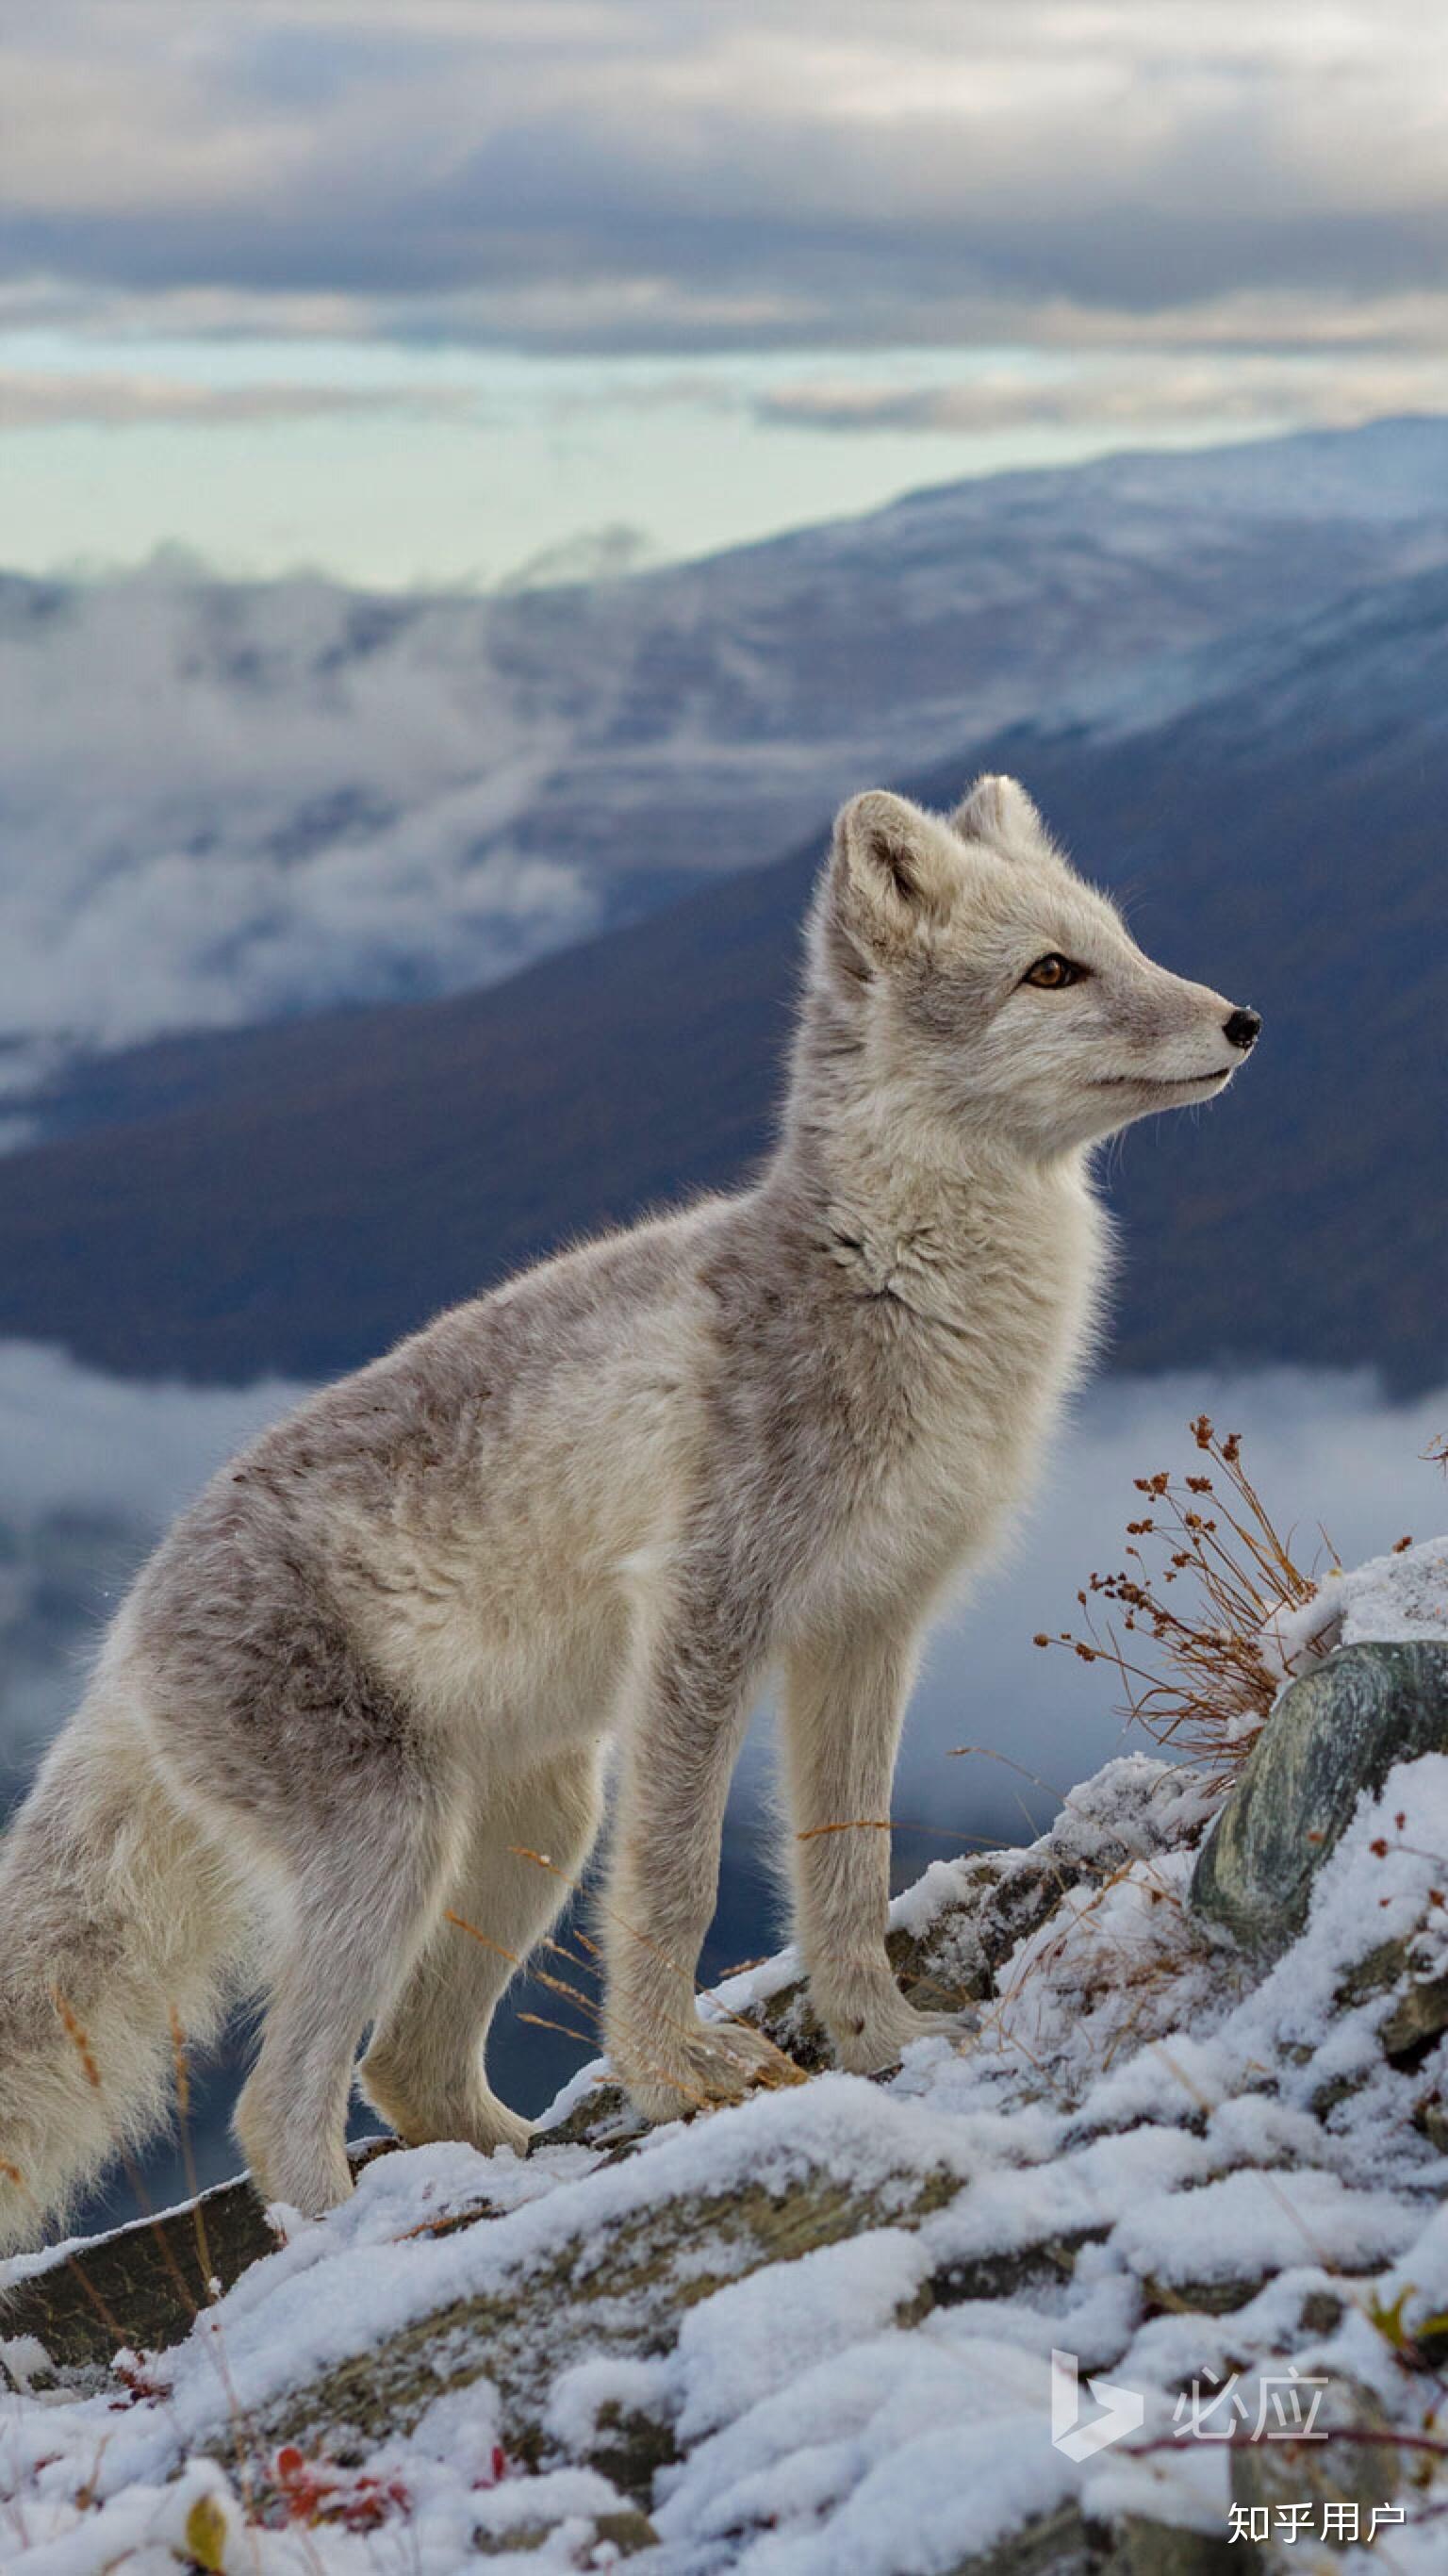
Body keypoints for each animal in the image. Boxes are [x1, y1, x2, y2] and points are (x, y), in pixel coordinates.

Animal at [0, 778, 1252, 2236]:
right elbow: (683, 1881)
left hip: (537, 1823)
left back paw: (507, 2172)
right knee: (283, 2104)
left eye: (1122, 940)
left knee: (409, 2070)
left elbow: (846, 1875)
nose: (1244, 1019)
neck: (896, 1282)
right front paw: (672, 2077)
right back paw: (357, 2233)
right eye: (1054, 971)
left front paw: (883, 2043)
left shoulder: (868, 1631)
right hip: (398, 1844)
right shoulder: (708, 1615)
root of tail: (123, 1638)